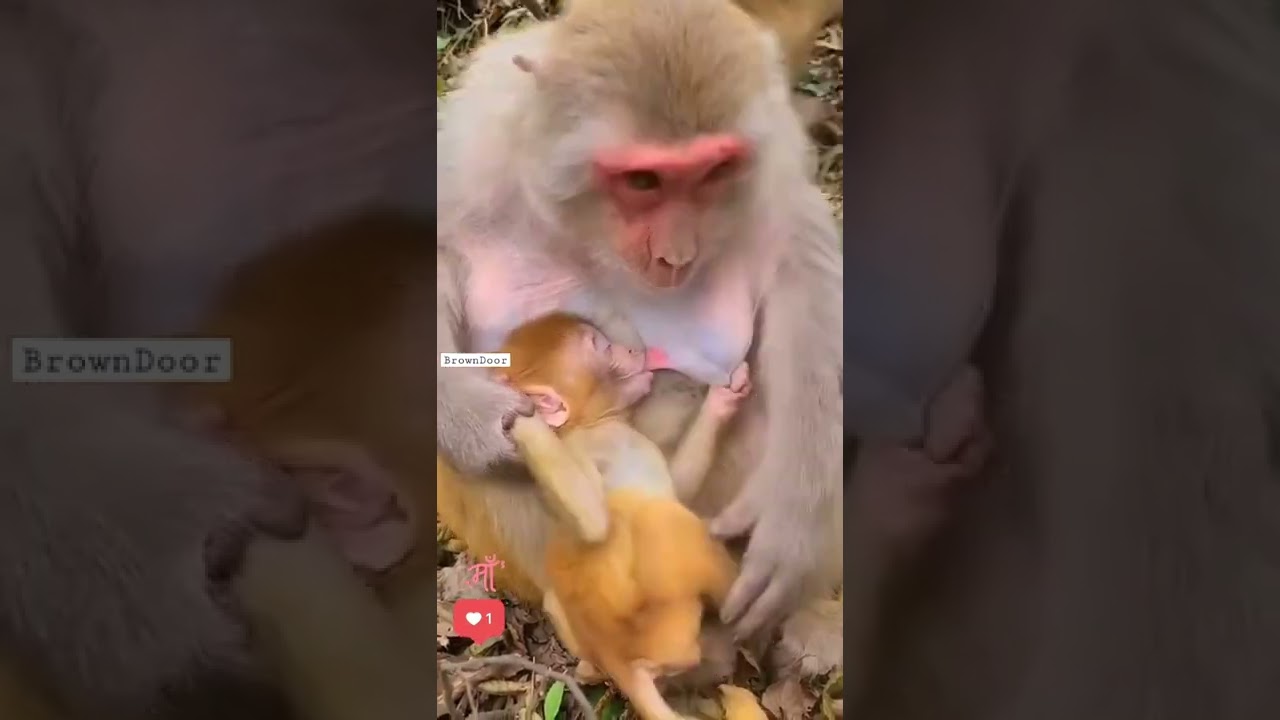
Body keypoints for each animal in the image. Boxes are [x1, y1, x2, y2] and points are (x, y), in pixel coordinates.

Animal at [482, 311, 758, 720]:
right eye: (601, 346)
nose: (631, 348)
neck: (597, 423)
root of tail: (616, 658)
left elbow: (678, 484)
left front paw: (723, 400)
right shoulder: (585, 449)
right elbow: (594, 523)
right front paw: (520, 423)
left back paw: (590, 669)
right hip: (661, 623)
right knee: (661, 520)